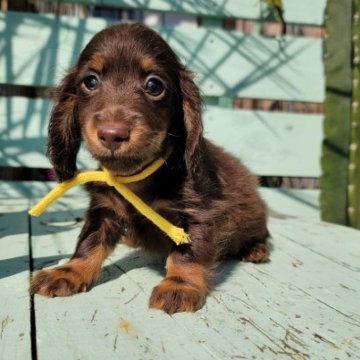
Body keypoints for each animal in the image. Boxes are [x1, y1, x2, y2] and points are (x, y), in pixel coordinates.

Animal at [29, 23, 268, 314]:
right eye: (90, 81)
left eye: (154, 85)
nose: (112, 134)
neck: (137, 178)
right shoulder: (104, 209)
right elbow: (88, 242)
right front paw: (69, 271)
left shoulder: (197, 213)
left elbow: (186, 254)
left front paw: (179, 285)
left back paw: (255, 249)